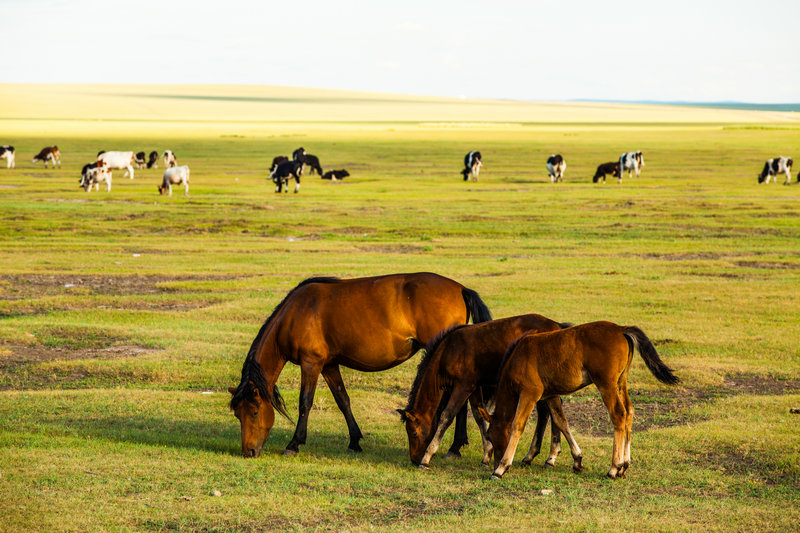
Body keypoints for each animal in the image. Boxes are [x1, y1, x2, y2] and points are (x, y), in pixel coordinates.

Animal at [227, 274, 494, 458]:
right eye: (237, 414)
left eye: (253, 411)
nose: (248, 452)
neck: (295, 314)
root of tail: (460, 289)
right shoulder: (329, 365)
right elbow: (343, 400)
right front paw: (354, 441)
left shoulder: (311, 363)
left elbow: (305, 402)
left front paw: (294, 444)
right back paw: (455, 446)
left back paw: (455, 447)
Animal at [396, 314, 572, 468]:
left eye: (413, 433)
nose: (414, 459)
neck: (449, 350)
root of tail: (557, 325)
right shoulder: (474, 386)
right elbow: (478, 415)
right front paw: (487, 455)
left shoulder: (463, 386)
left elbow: (447, 415)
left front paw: (427, 457)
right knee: (548, 410)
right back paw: (536, 456)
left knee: (550, 410)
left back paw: (549, 457)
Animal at [482, 322, 680, 480]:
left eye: (490, 435)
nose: (495, 462)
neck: (517, 357)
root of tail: (621, 328)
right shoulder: (551, 394)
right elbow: (561, 422)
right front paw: (577, 460)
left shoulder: (530, 393)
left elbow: (518, 425)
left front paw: (501, 468)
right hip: (620, 382)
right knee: (629, 411)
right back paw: (624, 466)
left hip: (606, 384)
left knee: (618, 414)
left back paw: (614, 468)